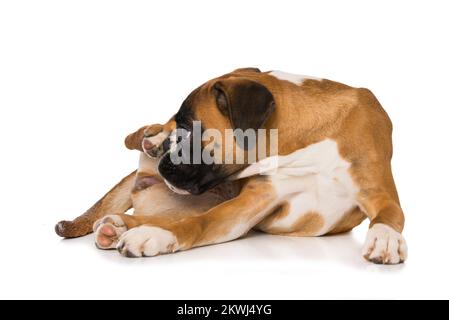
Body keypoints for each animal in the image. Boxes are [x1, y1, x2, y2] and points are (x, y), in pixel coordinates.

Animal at [55, 66, 406, 264]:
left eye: (190, 128)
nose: (164, 163)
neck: (305, 142)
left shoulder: (380, 194)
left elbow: (388, 216)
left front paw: (385, 238)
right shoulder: (249, 204)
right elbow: (198, 224)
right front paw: (155, 237)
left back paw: (119, 224)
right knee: (143, 142)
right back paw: (147, 147)